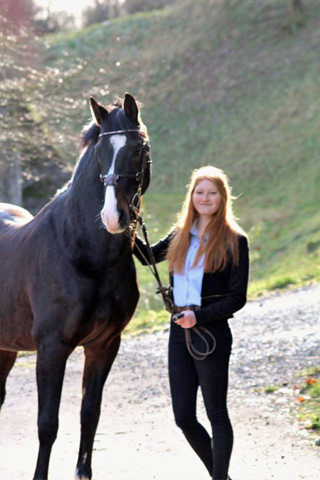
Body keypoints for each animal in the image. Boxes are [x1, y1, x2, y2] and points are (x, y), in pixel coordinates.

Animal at [0, 94, 151, 480]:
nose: (114, 217)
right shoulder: (52, 348)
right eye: (99, 153)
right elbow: (47, 424)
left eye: (138, 150)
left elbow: (89, 413)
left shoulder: (103, 345)